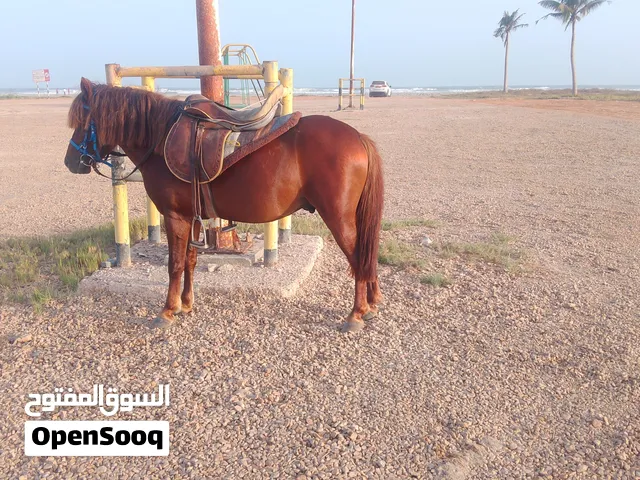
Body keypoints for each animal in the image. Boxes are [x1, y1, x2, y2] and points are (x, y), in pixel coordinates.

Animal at [64, 78, 384, 332]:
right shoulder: (190, 216)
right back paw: (371, 305)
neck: (160, 138)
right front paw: (185, 304)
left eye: (82, 121)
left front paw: (167, 311)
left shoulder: (174, 216)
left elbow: (174, 264)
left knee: (359, 258)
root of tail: (358, 138)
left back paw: (356, 313)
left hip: (338, 218)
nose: (70, 162)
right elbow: (191, 260)